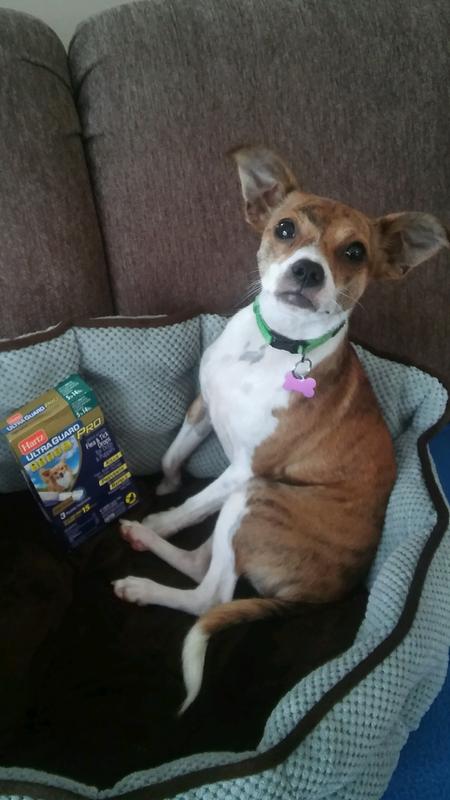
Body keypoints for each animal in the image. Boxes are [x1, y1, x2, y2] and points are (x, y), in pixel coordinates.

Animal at [113, 146, 449, 712]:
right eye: (285, 229)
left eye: (355, 252)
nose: (308, 271)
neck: (274, 345)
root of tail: (324, 595)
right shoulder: (203, 407)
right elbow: (171, 456)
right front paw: (166, 485)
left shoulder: (246, 470)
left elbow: (189, 509)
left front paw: (161, 515)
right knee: (202, 563)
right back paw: (143, 543)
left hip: (258, 499)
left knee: (210, 596)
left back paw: (143, 575)